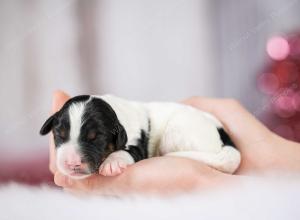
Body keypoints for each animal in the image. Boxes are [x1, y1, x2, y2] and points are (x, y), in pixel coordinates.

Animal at [39, 94, 241, 179]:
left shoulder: (137, 145)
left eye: (96, 138)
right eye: (59, 134)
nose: (72, 163)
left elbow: (127, 152)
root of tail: (222, 132)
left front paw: (112, 163)